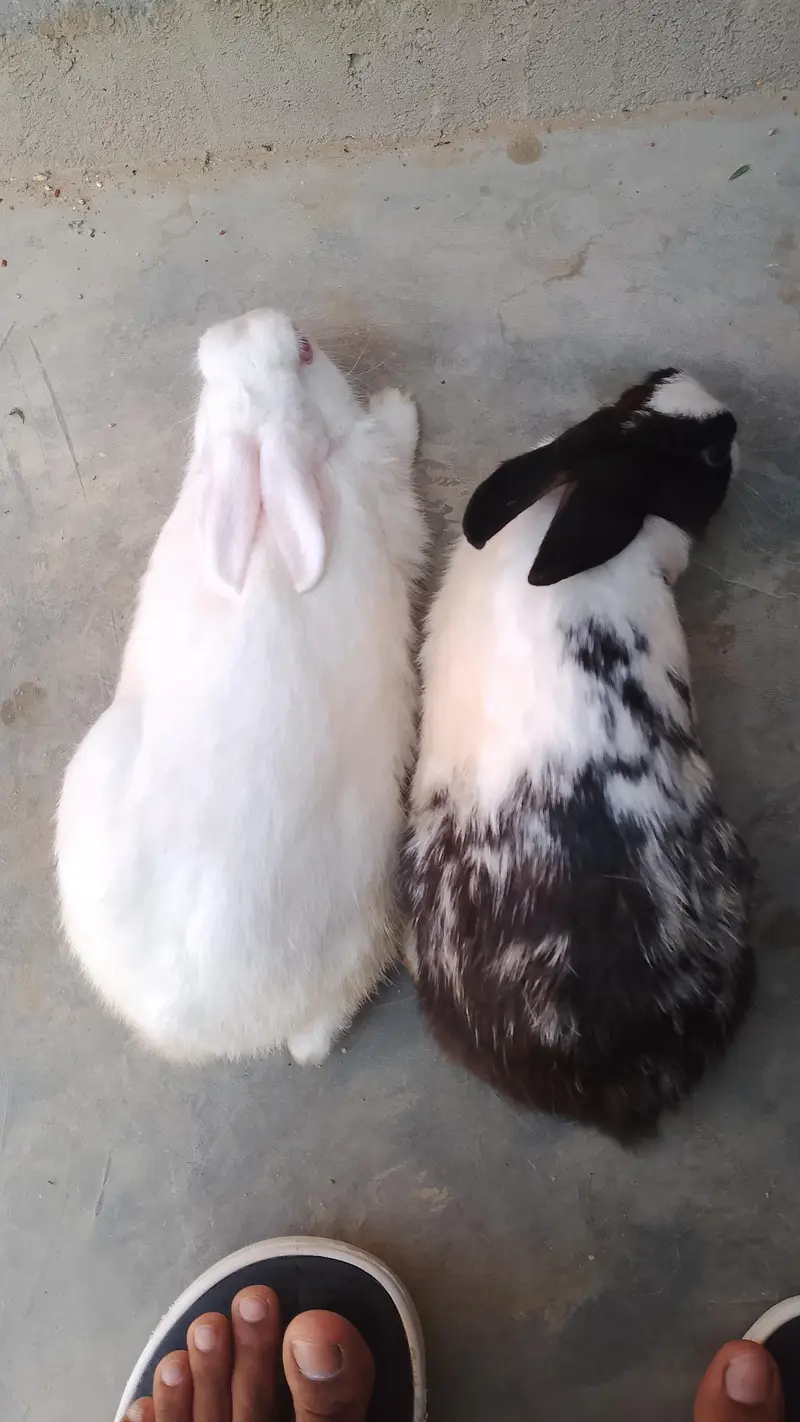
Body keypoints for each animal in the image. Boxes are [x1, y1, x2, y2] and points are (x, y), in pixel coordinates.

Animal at [56, 308, 427, 1065]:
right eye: (308, 351)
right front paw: (399, 404)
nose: (247, 320)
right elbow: (395, 452)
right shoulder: (386, 492)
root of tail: (216, 1029)